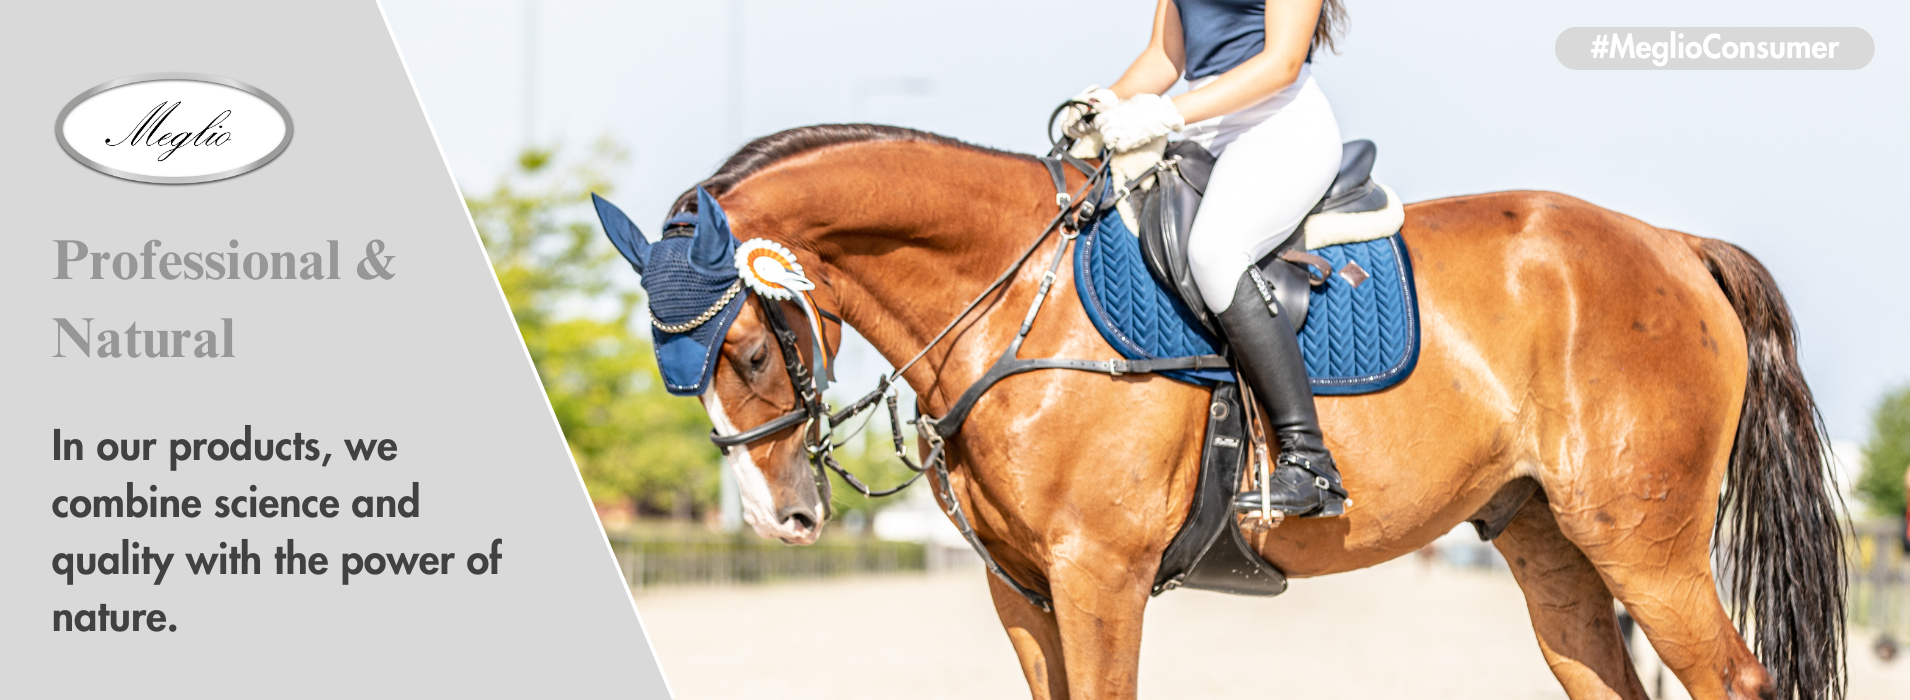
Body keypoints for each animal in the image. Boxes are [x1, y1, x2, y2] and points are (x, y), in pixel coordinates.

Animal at [645, 124, 1845, 700]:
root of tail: (1674, 244)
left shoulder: (1099, 576)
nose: (778, 519)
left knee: (1732, 677)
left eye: (747, 350)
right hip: (1550, 542)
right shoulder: (1021, 590)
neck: (1017, 295)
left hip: (1642, 541)